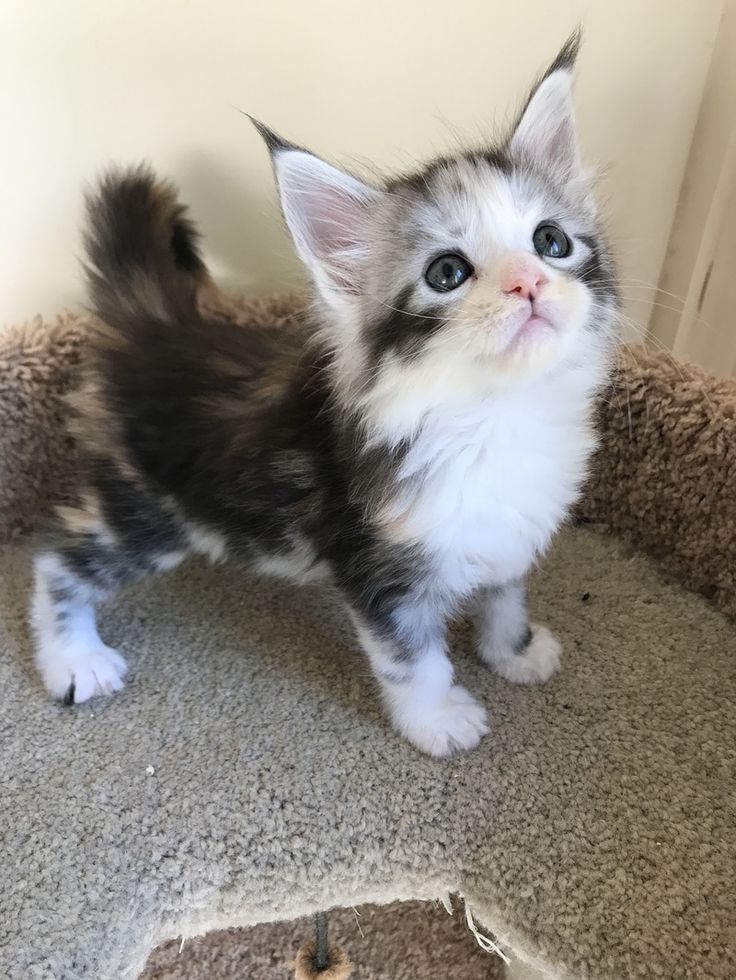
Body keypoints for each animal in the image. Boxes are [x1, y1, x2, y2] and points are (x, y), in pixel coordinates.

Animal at [33, 34, 620, 756]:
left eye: (550, 241)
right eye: (447, 273)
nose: (527, 283)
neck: (496, 414)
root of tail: (163, 326)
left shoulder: (511, 530)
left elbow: (504, 597)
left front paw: (514, 652)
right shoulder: (377, 568)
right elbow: (414, 660)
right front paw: (438, 720)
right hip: (149, 511)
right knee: (58, 559)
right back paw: (73, 660)